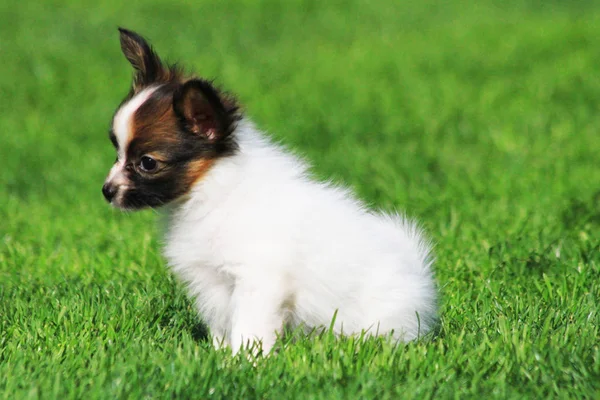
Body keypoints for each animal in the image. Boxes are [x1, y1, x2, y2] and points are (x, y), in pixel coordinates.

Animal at [103, 27, 438, 354]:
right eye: (116, 149)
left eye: (147, 163)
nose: (106, 191)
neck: (210, 190)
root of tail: (417, 273)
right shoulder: (211, 284)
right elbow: (221, 327)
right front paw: (218, 358)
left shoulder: (257, 279)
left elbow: (248, 328)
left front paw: (243, 362)